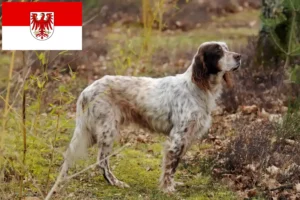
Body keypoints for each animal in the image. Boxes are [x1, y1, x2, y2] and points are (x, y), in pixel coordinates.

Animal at [56, 41, 241, 193]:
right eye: (218, 51)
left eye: (226, 47)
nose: (239, 56)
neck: (198, 87)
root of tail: (86, 90)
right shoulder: (178, 137)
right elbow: (170, 166)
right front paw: (168, 189)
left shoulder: (187, 137)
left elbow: (174, 165)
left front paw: (172, 185)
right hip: (107, 130)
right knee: (101, 161)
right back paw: (115, 182)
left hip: (92, 132)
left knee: (70, 153)